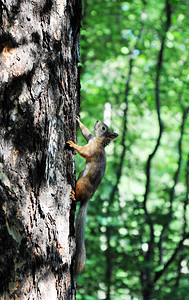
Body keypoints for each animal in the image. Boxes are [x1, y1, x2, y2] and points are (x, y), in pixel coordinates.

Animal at [67, 118, 118, 274]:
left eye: (103, 128)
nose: (97, 120)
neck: (97, 141)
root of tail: (88, 197)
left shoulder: (92, 149)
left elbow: (84, 151)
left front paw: (73, 145)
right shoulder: (90, 137)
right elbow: (86, 132)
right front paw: (78, 121)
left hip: (82, 182)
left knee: (79, 196)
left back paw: (74, 196)